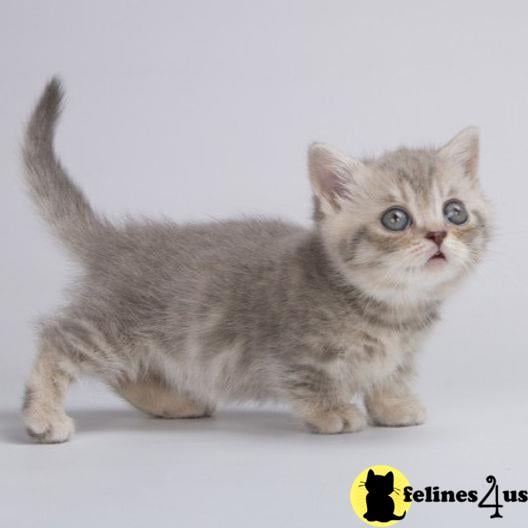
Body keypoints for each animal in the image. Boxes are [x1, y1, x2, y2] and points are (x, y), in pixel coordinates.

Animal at [20, 78, 490, 442]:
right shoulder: (292, 350)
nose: (437, 234)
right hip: (109, 326)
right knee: (57, 340)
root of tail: (115, 240)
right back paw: (42, 415)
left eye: (454, 212)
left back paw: (173, 402)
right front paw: (332, 410)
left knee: (127, 372)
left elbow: (392, 373)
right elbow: (309, 380)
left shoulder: (403, 353)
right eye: (395, 218)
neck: (393, 309)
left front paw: (394, 404)